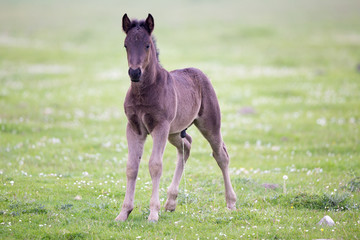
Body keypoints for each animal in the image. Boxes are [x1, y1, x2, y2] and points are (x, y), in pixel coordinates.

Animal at [115, 14, 238, 222]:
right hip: (175, 131)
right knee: (186, 145)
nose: (135, 72)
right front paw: (123, 213)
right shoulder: (134, 127)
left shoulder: (160, 126)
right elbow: (131, 167)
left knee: (221, 155)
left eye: (147, 45)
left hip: (209, 124)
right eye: (125, 45)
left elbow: (155, 165)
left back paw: (231, 203)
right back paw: (171, 202)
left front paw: (153, 214)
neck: (144, 91)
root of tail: (199, 72)